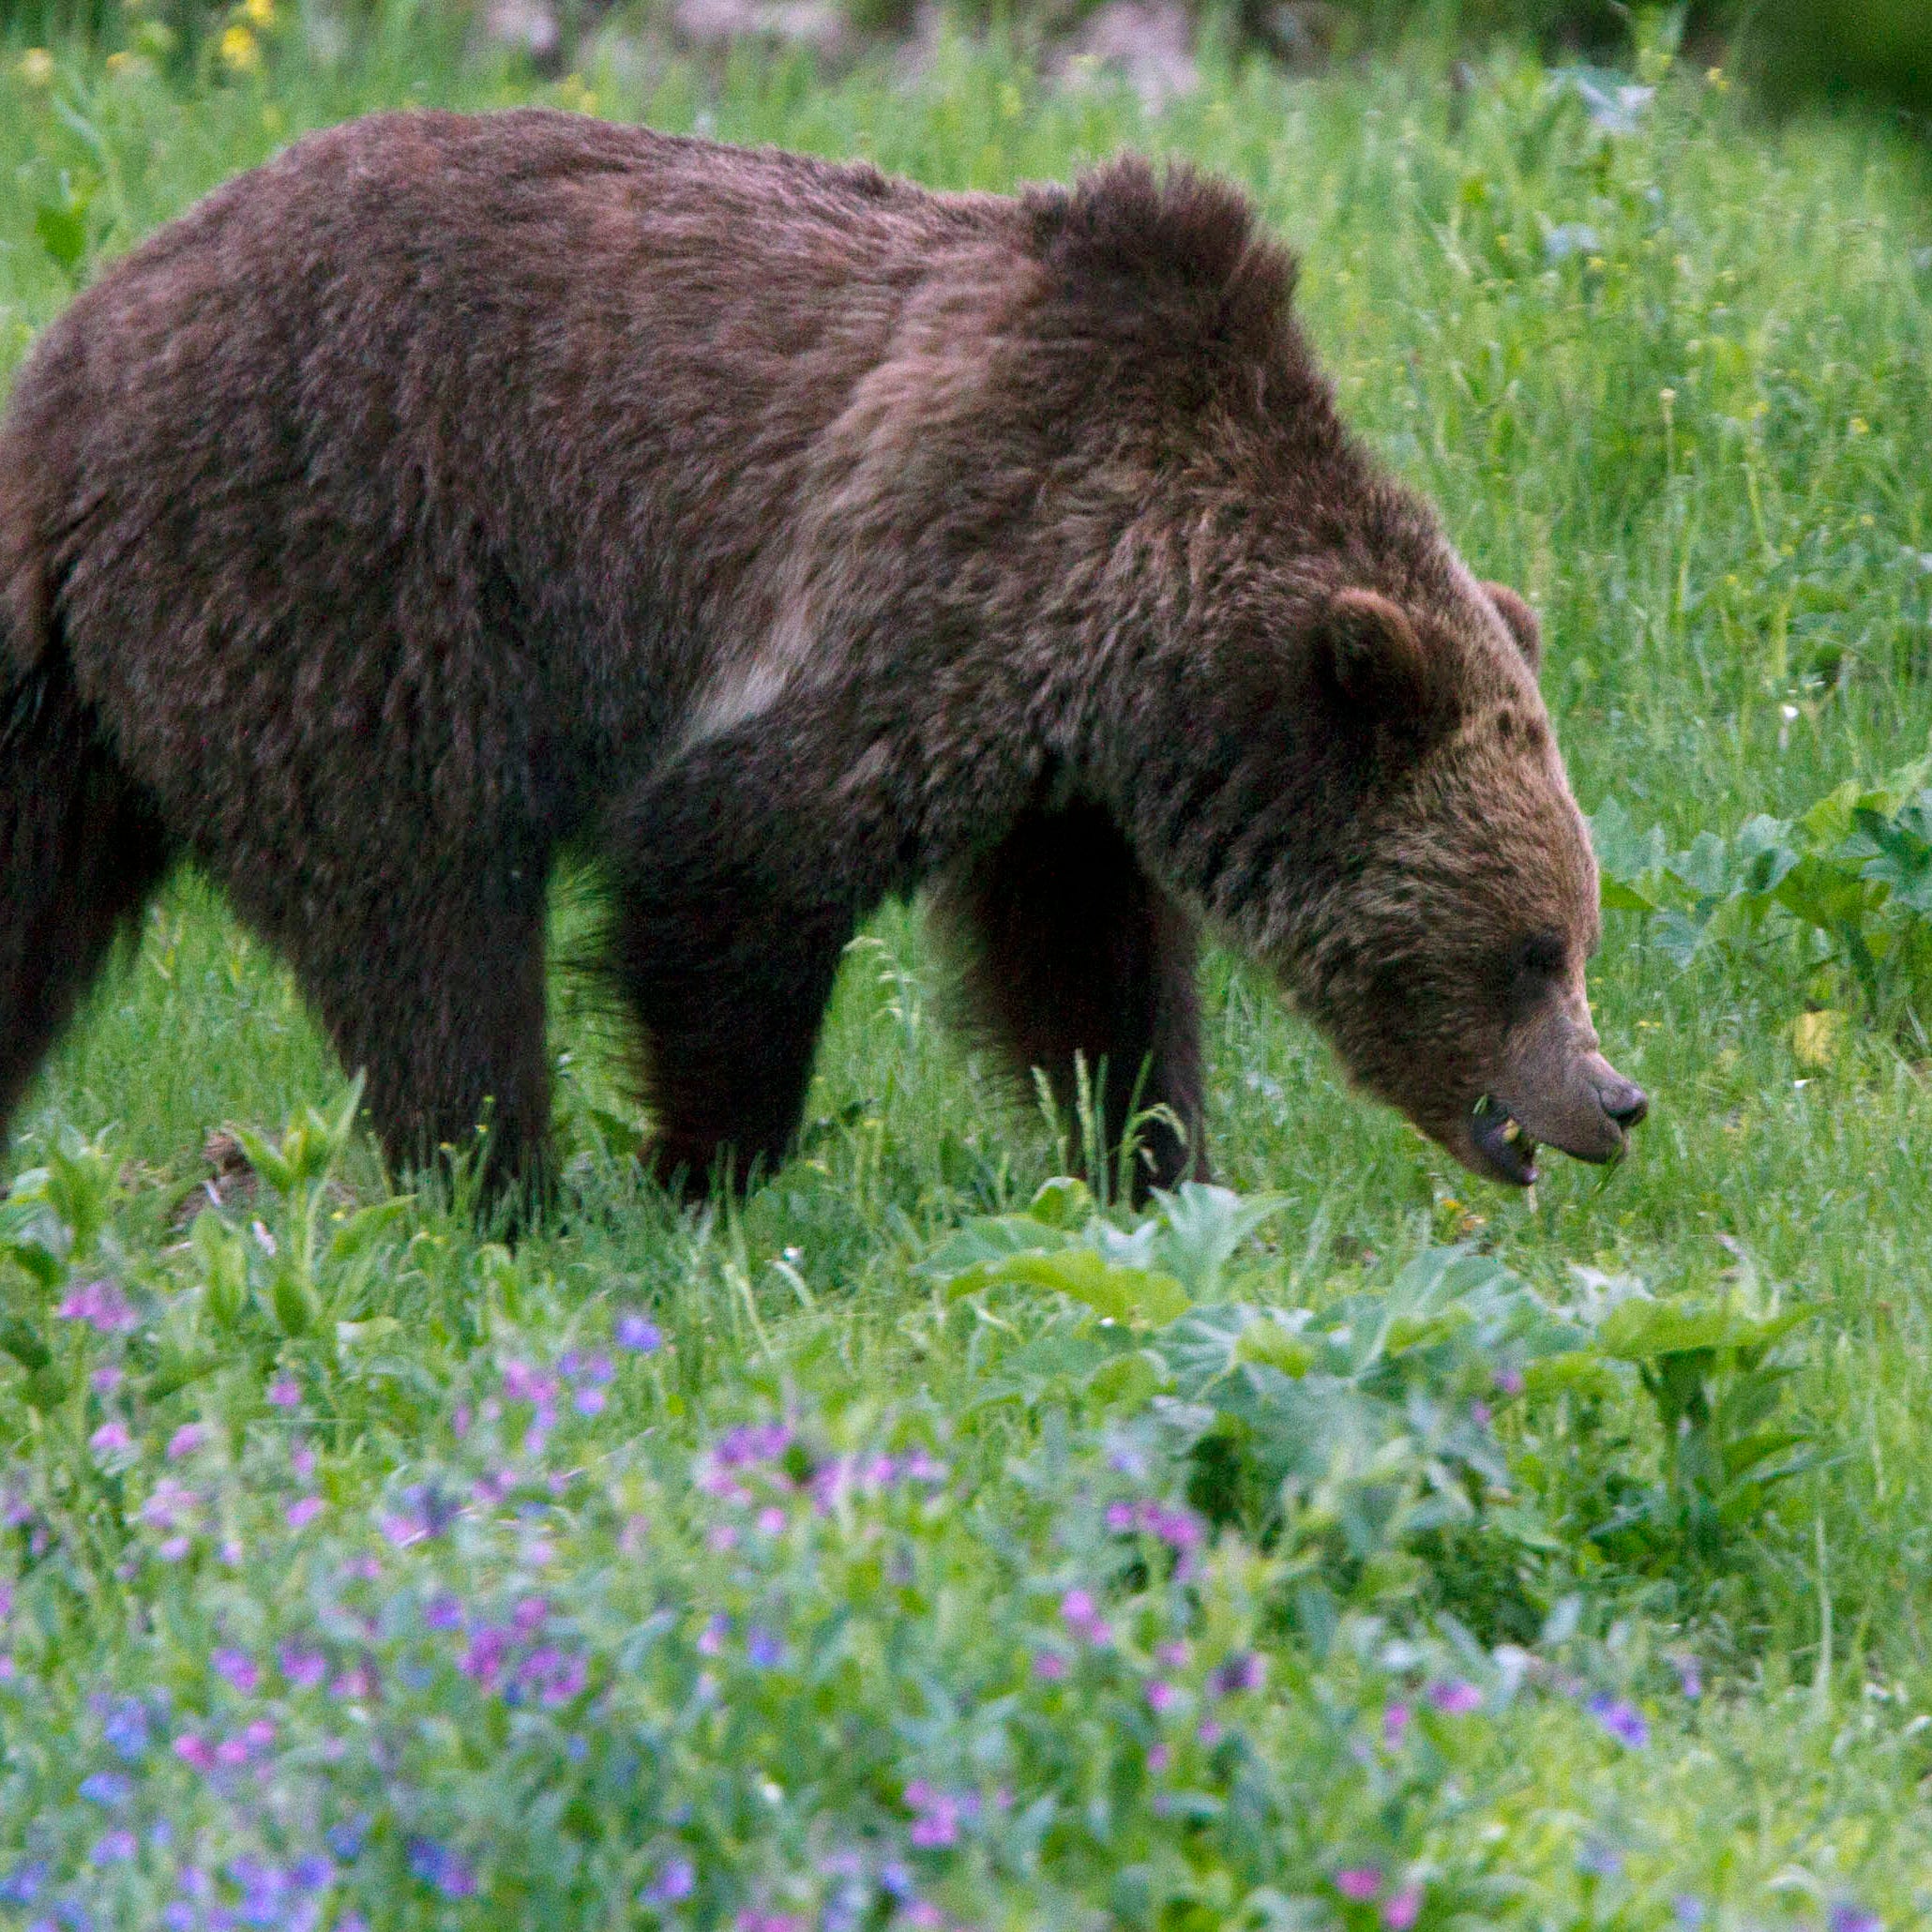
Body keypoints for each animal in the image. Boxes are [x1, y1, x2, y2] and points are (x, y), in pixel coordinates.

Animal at [0, 113, 1646, 1198]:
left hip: (90, 693)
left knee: (42, 905)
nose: (1615, 1099)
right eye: (1529, 949)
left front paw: (1152, 1157)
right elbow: (732, 859)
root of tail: (76, 360)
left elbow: (1085, 965)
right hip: (339, 583)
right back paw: (509, 1183)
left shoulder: (1061, 766)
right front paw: (707, 1167)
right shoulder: (939, 570)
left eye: (1575, 930)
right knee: (427, 916)